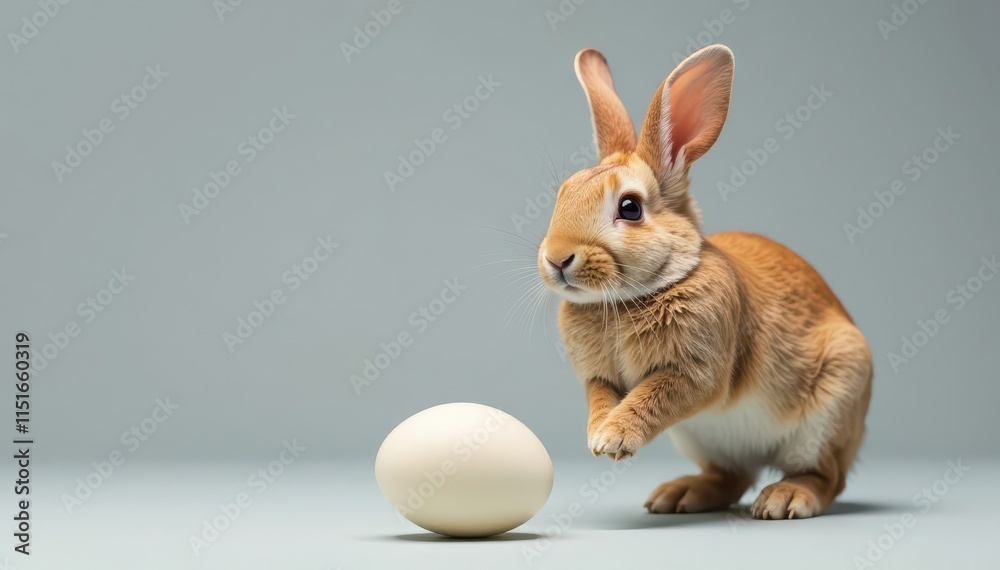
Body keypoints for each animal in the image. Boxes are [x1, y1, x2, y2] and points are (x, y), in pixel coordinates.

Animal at [537, 44, 872, 519]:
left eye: (630, 207)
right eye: (562, 194)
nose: (557, 258)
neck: (631, 297)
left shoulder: (696, 373)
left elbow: (653, 395)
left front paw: (613, 438)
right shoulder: (598, 378)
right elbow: (601, 397)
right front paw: (599, 433)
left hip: (831, 407)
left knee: (827, 477)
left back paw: (784, 499)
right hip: (706, 441)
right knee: (732, 477)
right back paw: (679, 495)